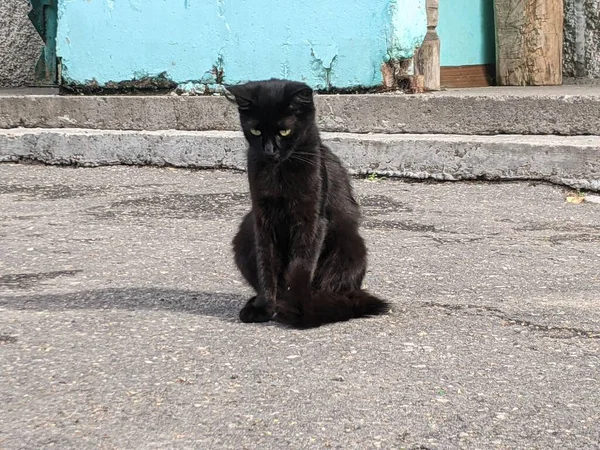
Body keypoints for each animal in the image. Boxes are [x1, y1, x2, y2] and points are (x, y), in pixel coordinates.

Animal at [226, 80, 390, 326]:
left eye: (284, 131)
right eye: (256, 131)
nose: (269, 151)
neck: (279, 173)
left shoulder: (312, 218)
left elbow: (302, 263)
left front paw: (298, 307)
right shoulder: (262, 219)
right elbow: (266, 263)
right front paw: (264, 306)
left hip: (350, 243)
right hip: (243, 237)